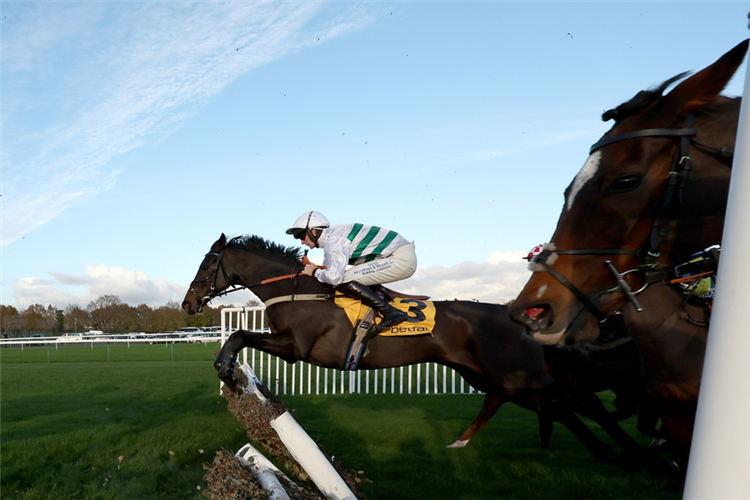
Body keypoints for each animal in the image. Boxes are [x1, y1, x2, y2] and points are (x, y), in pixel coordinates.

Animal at [184, 232, 664, 462]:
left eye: (207, 265)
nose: (188, 303)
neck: (299, 290)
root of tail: (515, 317)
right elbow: (240, 337)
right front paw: (227, 371)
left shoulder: (298, 347)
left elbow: (241, 336)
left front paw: (226, 369)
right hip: (487, 376)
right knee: (559, 406)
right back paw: (620, 451)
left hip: (515, 375)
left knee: (571, 401)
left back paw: (633, 451)